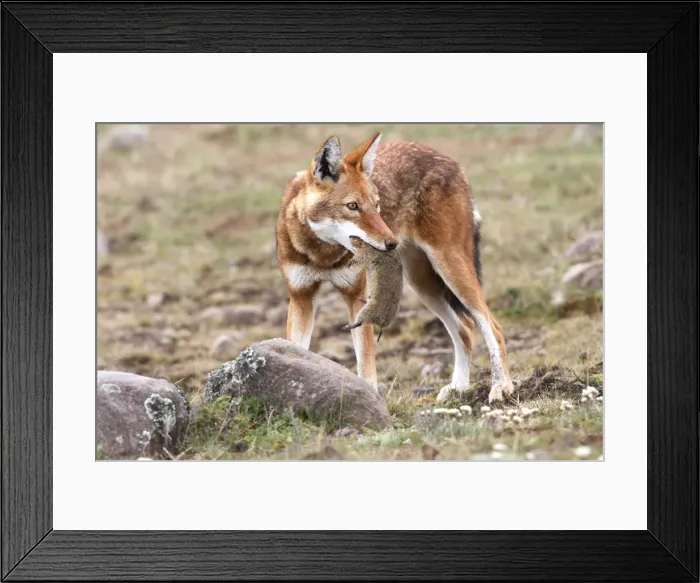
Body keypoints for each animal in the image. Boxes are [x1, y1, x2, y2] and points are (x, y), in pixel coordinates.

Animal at [275, 132, 513, 403]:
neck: (321, 255)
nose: (391, 243)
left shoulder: (356, 297)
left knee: (492, 326)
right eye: (353, 206)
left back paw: (502, 387)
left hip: (450, 269)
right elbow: (296, 352)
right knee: (465, 327)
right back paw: (458, 387)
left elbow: (366, 367)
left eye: (377, 205)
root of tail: (450, 161)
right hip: (423, 284)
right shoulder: (301, 298)